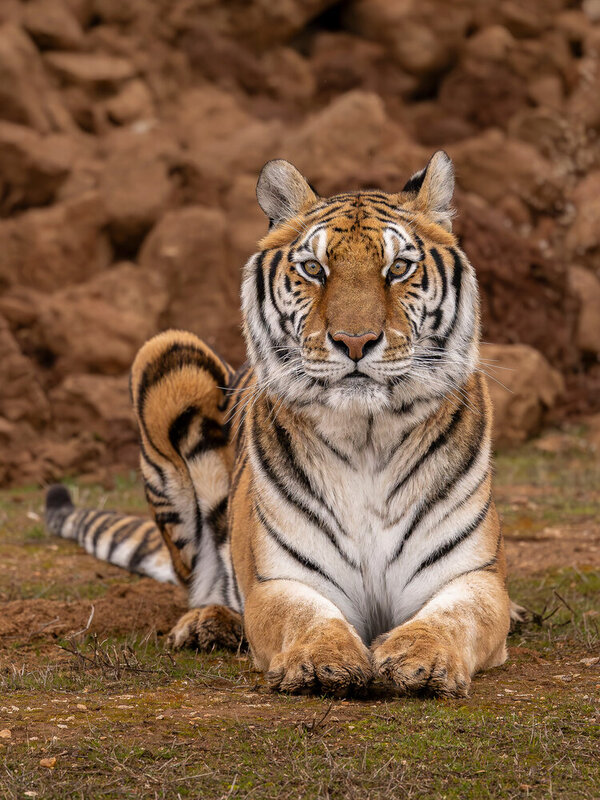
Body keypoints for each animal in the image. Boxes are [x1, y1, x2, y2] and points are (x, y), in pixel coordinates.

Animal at [46, 151, 513, 697]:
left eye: (398, 268)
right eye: (314, 268)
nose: (355, 342)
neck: (368, 436)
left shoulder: (472, 576)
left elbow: (454, 618)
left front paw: (420, 659)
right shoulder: (283, 579)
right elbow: (305, 617)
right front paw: (324, 661)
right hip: (165, 352)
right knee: (201, 583)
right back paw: (209, 623)